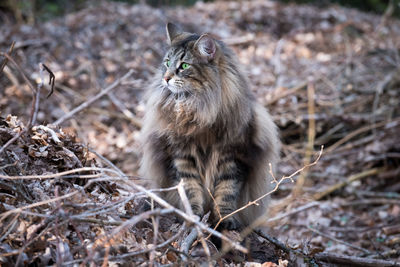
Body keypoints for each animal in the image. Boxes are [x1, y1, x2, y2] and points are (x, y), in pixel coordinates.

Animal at [141, 23, 282, 231]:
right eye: (167, 63)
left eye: (184, 66)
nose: (166, 78)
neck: (198, 109)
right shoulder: (180, 153)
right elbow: (189, 188)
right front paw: (193, 215)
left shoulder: (234, 154)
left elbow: (227, 191)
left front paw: (225, 219)